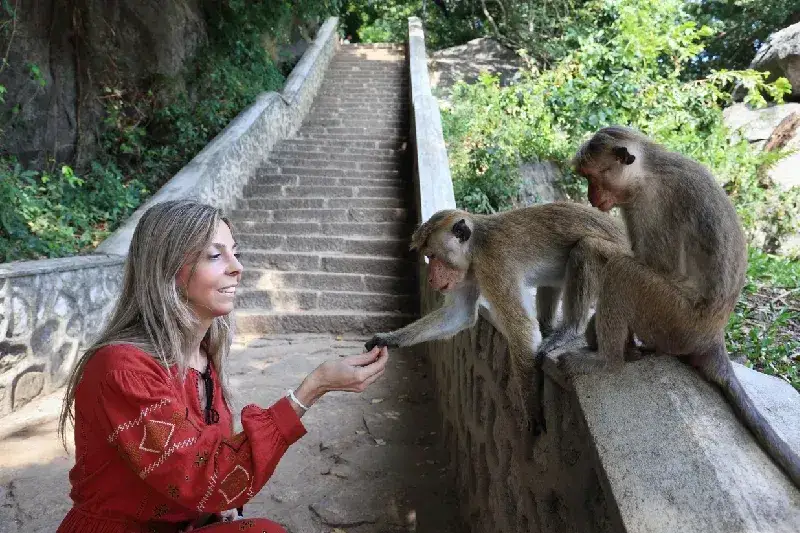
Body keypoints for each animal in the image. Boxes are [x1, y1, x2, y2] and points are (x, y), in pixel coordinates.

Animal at [364, 202, 631, 434]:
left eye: (434, 256)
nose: (431, 278)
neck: (476, 246)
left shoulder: (493, 264)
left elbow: (520, 327)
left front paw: (531, 407)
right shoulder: (470, 271)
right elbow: (459, 314)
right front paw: (388, 339)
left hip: (621, 270)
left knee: (587, 248)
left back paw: (569, 330)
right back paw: (548, 326)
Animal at [565, 125, 800, 488]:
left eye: (593, 177)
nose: (590, 197)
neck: (648, 170)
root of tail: (713, 337)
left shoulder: (650, 205)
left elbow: (657, 265)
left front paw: (587, 245)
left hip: (674, 320)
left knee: (623, 272)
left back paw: (608, 362)